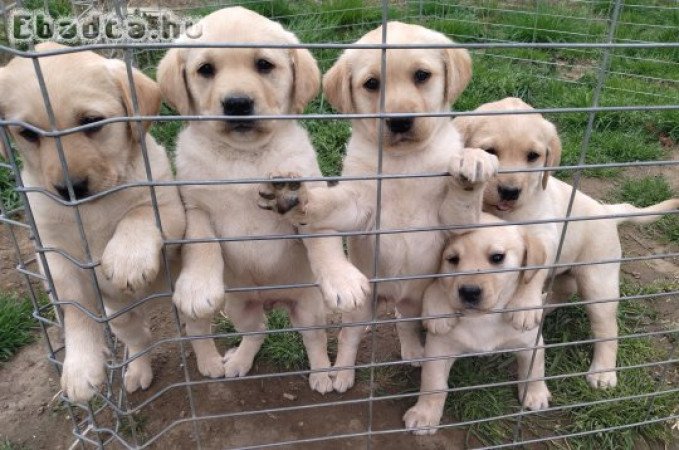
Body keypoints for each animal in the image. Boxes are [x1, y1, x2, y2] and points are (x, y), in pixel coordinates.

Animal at [0, 42, 186, 400]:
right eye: (28, 134)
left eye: (92, 122)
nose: (70, 188)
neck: (93, 206)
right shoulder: (54, 254)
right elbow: (74, 309)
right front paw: (79, 366)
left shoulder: (170, 210)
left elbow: (138, 214)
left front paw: (127, 259)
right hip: (120, 319)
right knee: (140, 341)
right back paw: (137, 370)